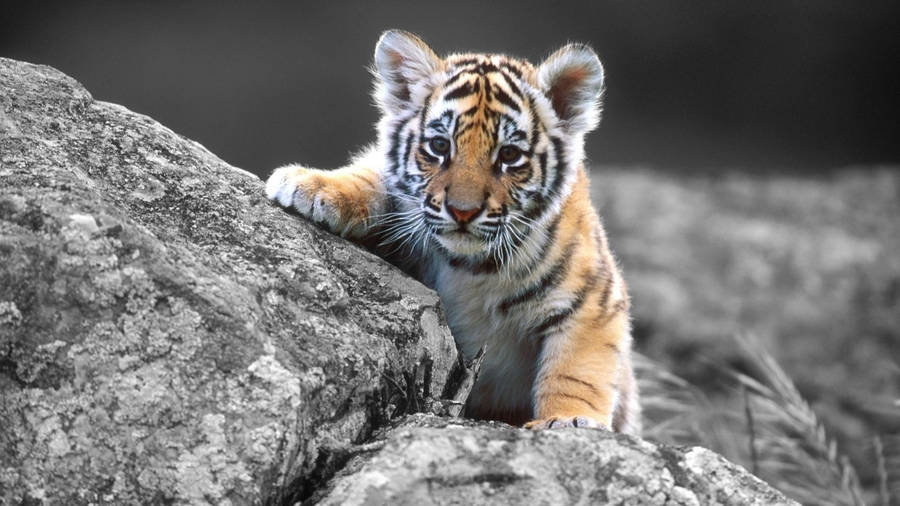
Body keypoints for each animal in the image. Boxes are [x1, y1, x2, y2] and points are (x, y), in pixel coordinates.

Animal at [266, 30, 640, 434]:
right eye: (439, 146)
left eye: (509, 155)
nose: (463, 211)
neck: (471, 267)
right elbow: (372, 176)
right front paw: (310, 185)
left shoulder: (594, 301)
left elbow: (576, 370)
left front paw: (569, 420)